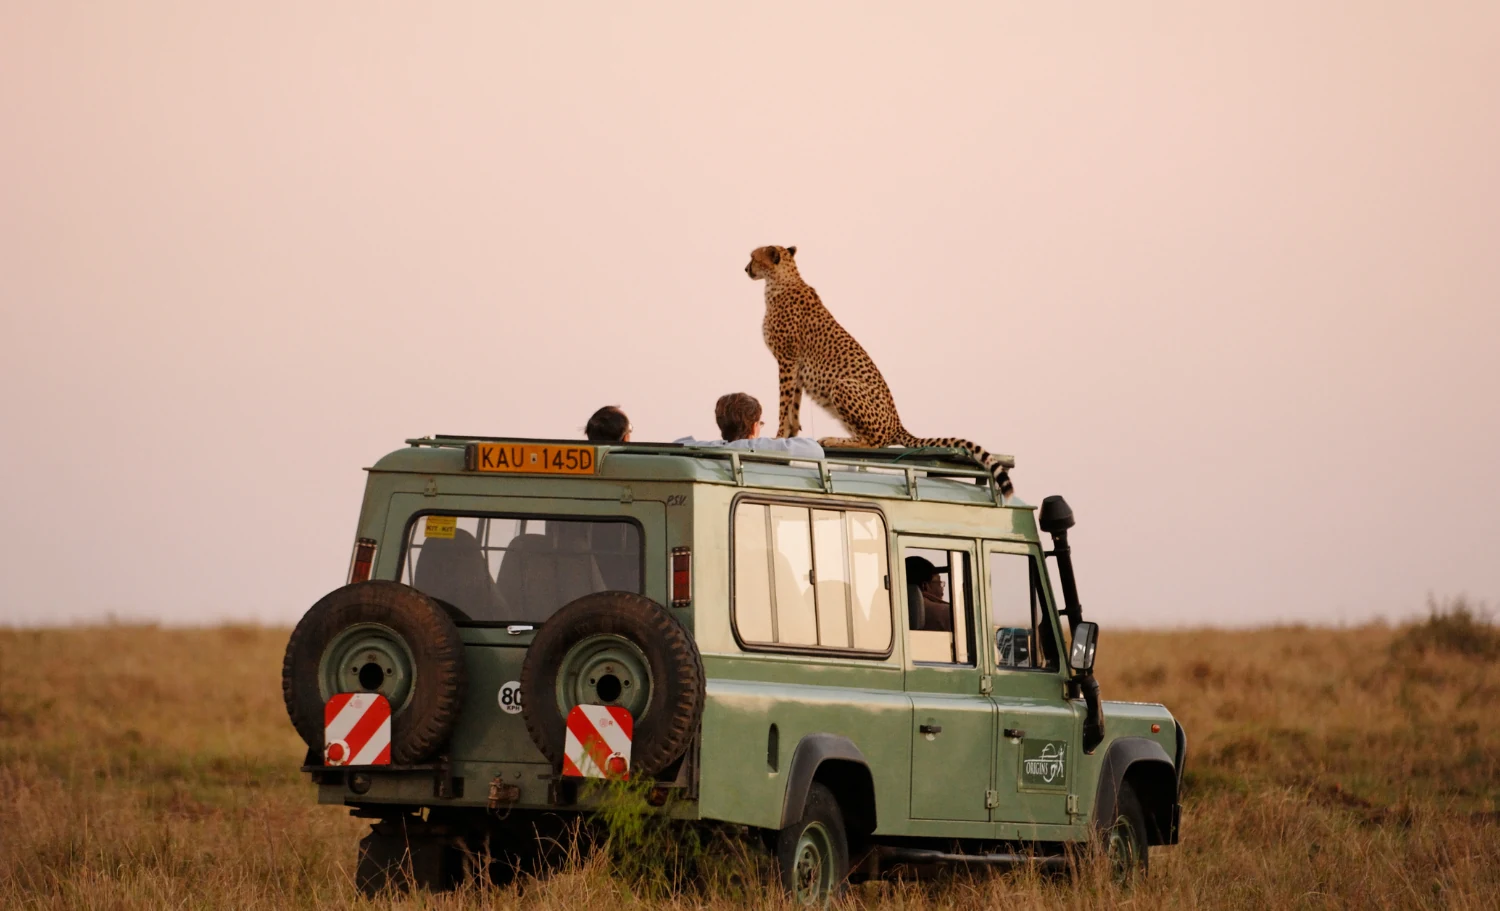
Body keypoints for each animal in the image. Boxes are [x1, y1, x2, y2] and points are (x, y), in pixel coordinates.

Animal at [745, 244, 1015, 500]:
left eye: (753, 257)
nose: (746, 269)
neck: (781, 280)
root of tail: (898, 424)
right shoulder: (796, 367)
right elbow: (794, 408)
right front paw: (789, 436)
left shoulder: (788, 360)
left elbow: (784, 405)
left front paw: (778, 436)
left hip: (842, 385)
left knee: (874, 442)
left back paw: (834, 439)